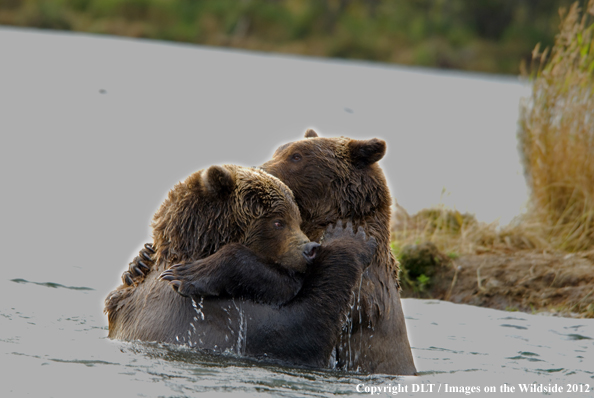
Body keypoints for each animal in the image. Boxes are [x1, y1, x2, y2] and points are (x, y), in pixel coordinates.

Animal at [104, 162, 374, 366]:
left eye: (298, 220)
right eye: (278, 222)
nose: (310, 249)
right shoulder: (216, 315)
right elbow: (301, 332)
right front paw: (347, 235)